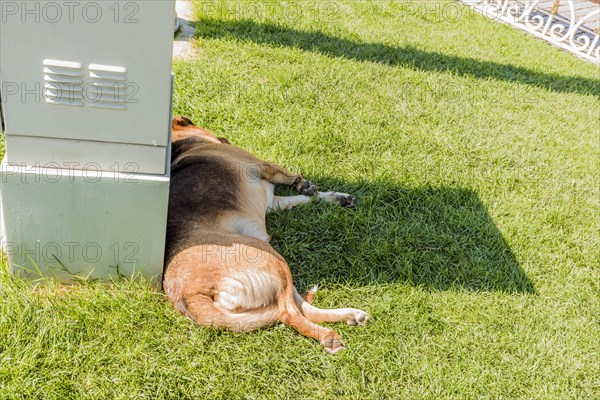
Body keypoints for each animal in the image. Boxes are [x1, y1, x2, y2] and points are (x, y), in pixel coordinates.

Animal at [165, 115, 370, 354]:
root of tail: (188, 295)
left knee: (302, 308)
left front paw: (337, 198)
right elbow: (291, 177)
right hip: (273, 259)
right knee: (289, 313)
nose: (225, 136)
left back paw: (351, 315)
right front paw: (303, 183)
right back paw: (328, 337)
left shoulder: (274, 203)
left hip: (277, 270)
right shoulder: (263, 165)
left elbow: (310, 198)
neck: (182, 147)